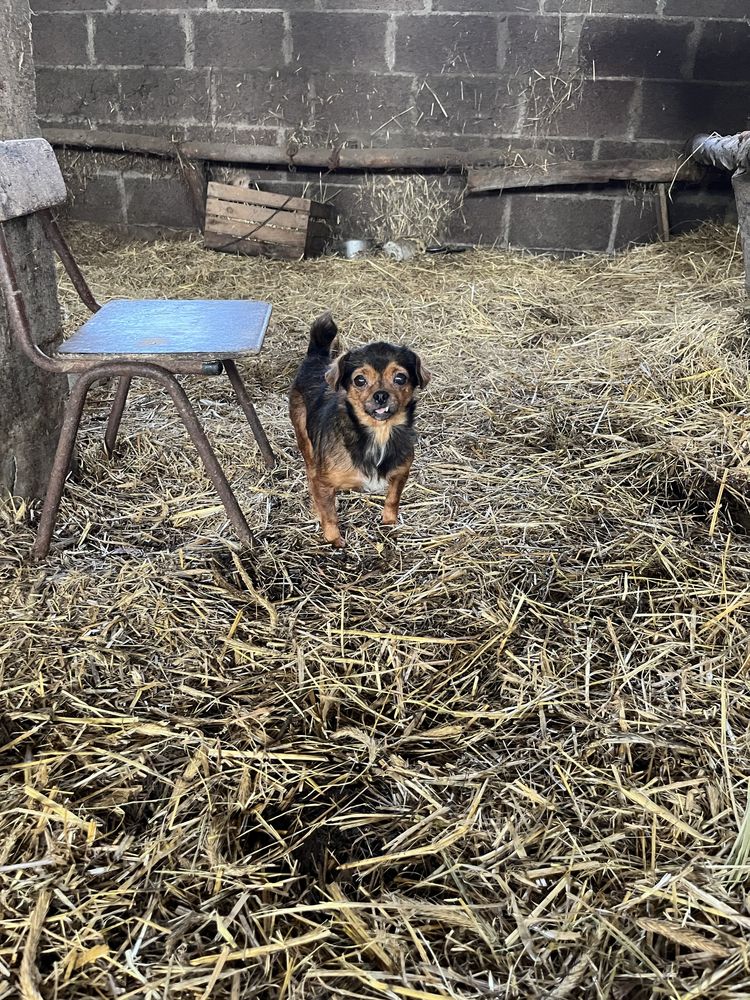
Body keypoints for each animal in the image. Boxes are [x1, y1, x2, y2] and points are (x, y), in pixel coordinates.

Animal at [290, 312, 432, 548]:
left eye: (400, 378)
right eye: (359, 380)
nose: (381, 395)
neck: (378, 434)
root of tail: (316, 358)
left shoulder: (401, 472)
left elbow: (393, 499)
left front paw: (389, 523)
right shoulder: (323, 482)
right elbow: (330, 515)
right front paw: (334, 540)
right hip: (305, 441)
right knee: (310, 473)